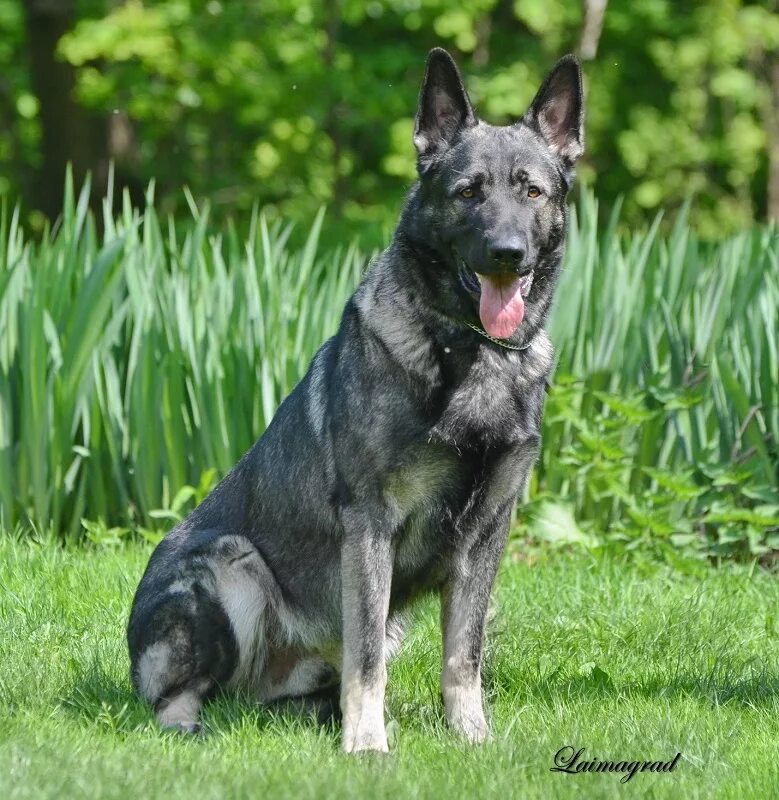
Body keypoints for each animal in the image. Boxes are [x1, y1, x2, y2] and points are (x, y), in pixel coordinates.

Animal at [129, 48, 584, 752]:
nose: (507, 254)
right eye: (469, 192)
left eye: (532, 191)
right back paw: (195, 725)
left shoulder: (487, 535)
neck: (469, 352)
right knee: (174, 697)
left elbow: (465, 654)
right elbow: (366, 656)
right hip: (230, 566)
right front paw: (367, 746)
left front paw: (471, 738)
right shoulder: (371, 525)